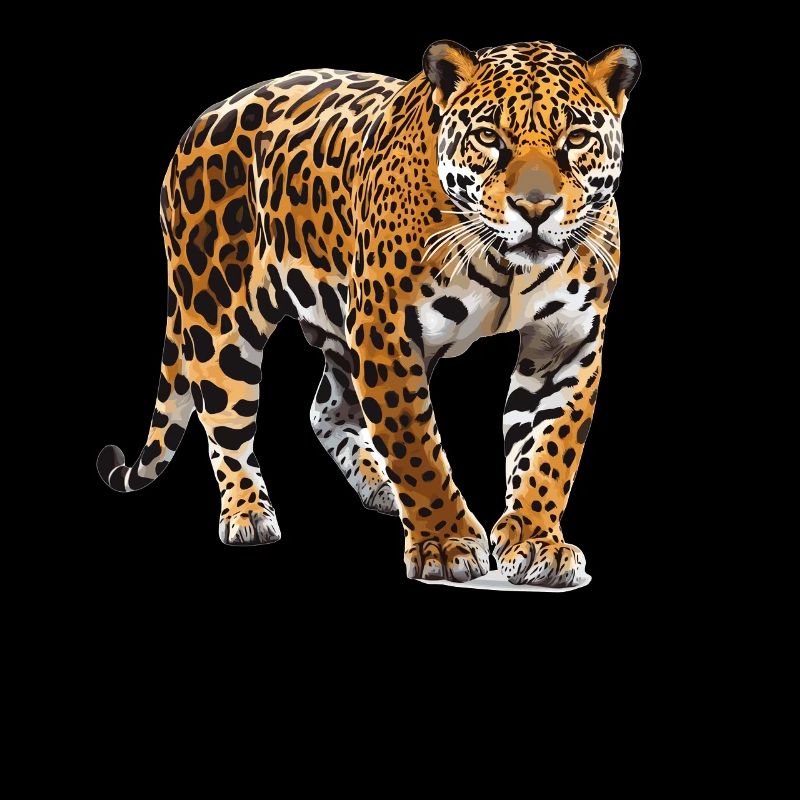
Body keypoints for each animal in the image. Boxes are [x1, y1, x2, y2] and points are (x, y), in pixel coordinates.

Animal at [97, 39, 641, 587]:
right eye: (488, 136)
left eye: (576, 139)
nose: (535, 207)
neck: (507, 265)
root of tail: (199, 123)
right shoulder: (387, 332)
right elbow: (415, 446)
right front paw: (444, 543)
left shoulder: (566, 340)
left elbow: (550, 448)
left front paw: (537, 542)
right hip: (219, 316)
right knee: (226, 421)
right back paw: (248, 514)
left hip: (335, 326)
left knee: (326, 409)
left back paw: (378, 487)